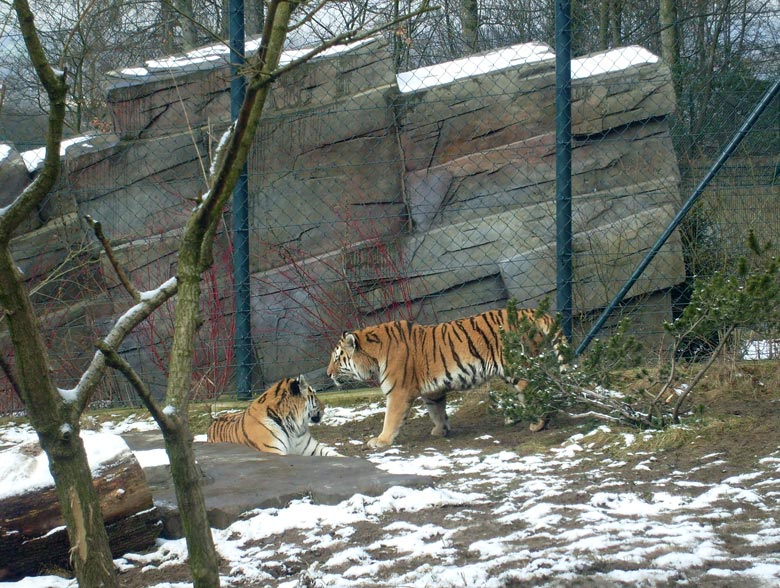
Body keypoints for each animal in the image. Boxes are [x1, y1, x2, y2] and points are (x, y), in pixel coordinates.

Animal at [207, 374, 342, 458]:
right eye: (314, 395)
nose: (325, 407)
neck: (293, 427)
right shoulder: (273, 451)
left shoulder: (312, 448)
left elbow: (336, 455)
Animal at [326, 306, 564, 448]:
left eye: (337, 359)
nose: (328, 374)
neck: (373, 354)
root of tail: (529, 311)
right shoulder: (433, 390)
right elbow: (436, 411)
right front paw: (441, 431)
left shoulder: (398, 391)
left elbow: (391, 418)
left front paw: (381, 440)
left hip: (518, 367)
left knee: (538, 389)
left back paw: (539, 423)